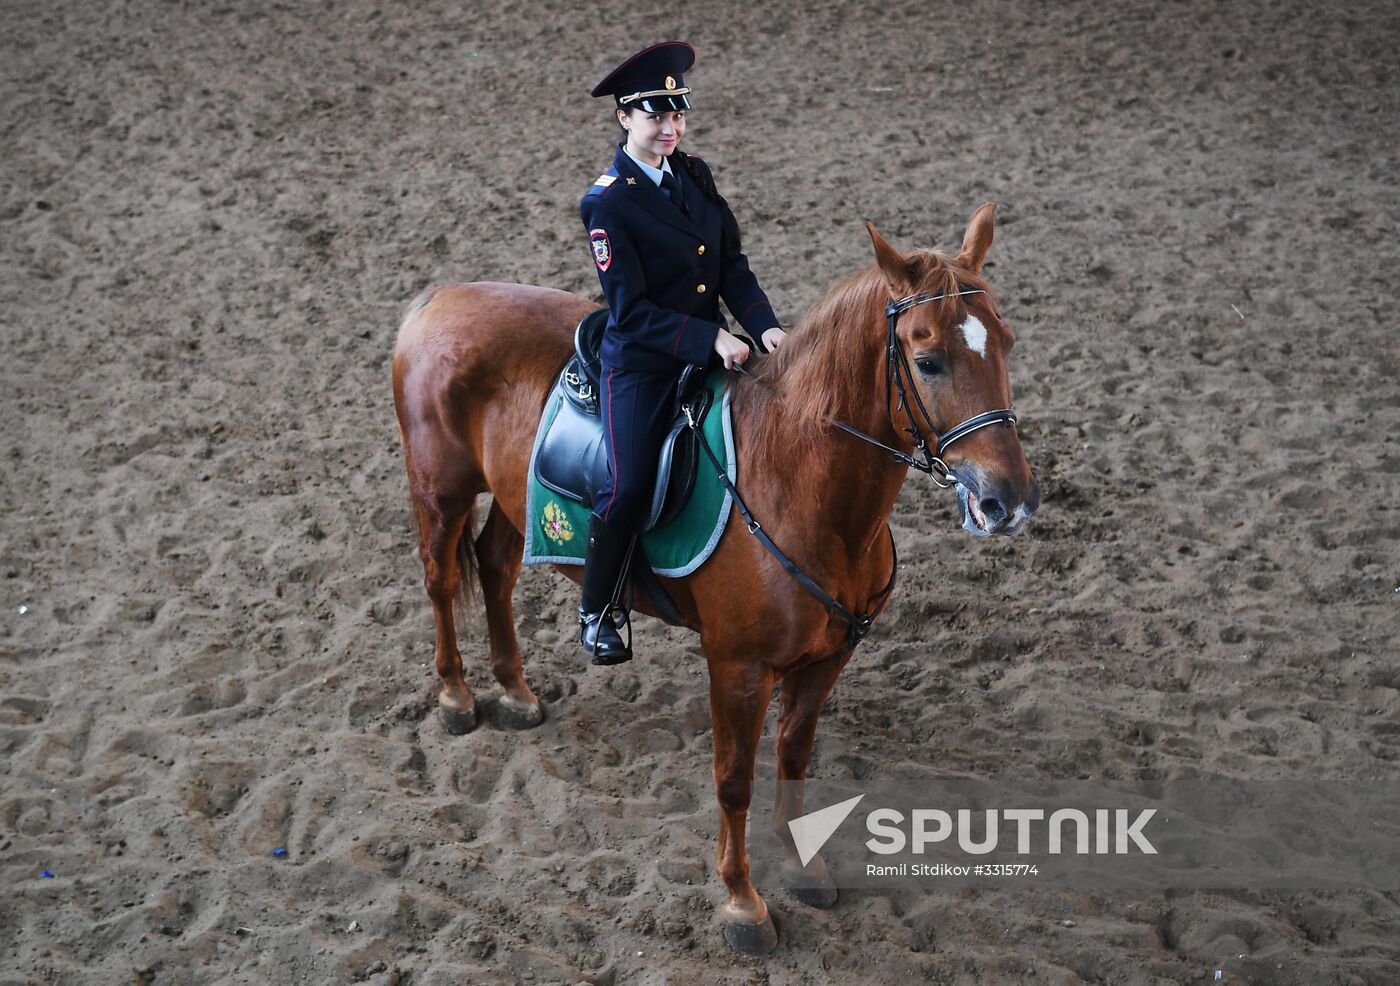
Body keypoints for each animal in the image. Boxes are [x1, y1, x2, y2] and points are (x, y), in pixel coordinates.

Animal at [394, 204, 1041, 952]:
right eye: (928, 359)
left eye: (1007, 343)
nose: (1010, 500)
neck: (798, 482)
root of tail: (440, 297)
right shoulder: (737, 665)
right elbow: (734, 779)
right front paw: (742, 903)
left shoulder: (828, 658)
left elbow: (793, 757)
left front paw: (803, 869)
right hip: (441, 489)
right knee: (442, 581)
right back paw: (456, 695)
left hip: (509, 497)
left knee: (496, 571)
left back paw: (515, 690)